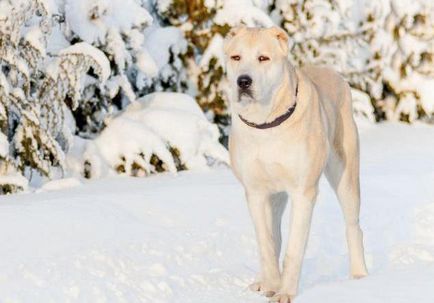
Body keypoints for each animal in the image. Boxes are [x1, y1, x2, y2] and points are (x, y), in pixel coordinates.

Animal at [224, 27, 370, 302]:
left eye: (263, 58)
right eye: (236, 57)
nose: (243, 81)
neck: (267, 124)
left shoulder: (304, 193)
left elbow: (294, 248)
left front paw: (285, 292)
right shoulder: (255, 192)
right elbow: (266, 243)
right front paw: (271, 284)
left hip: (345, 175)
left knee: (353, 226)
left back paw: (359, 276)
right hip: (275, 196)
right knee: (275, 235)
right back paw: (264, 280)